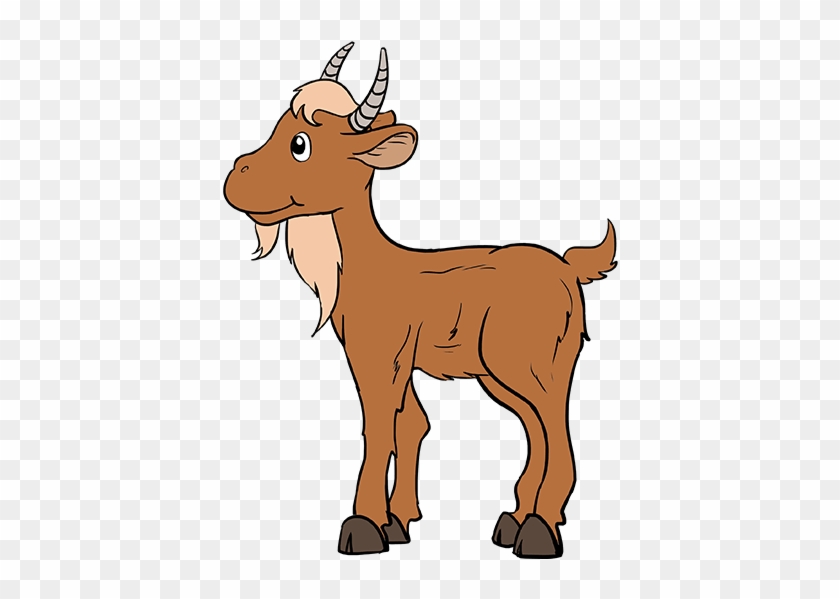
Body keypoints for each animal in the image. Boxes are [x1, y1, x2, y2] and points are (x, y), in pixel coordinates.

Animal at [223, 43, 617, 559]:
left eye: (301, 144)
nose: (235, 178)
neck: (370, 268)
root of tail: (569, 269)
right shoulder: (395, 359)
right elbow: (411, 423)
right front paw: (398, 521)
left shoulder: (379, 356)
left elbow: (378, 425)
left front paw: (363, 525)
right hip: (499, 374)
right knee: (537, 428)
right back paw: (515, 519)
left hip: (529, 362)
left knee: (555, 424)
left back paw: (540, 529)